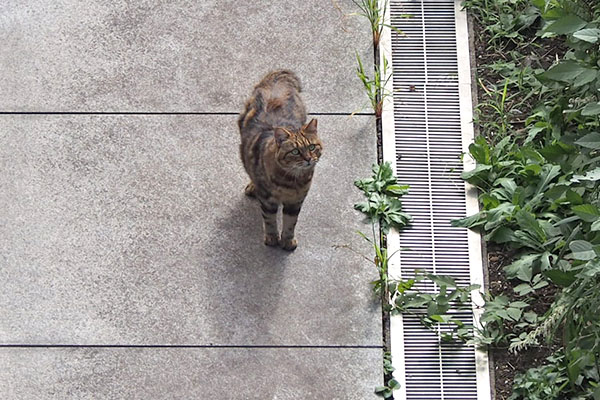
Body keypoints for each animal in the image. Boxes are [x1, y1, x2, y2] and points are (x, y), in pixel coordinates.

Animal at [239, 69, 324, 250]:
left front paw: (287, 240)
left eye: (312, 147)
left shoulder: (296, 201)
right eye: (295, 151)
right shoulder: (267, 200)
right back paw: (252, 186)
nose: (308, 159)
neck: (292, 182)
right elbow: (270, 220)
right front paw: (272, 238)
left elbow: (291, 223)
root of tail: (277, 79)